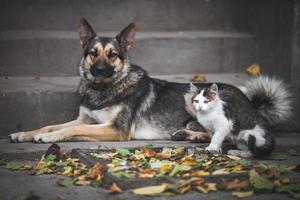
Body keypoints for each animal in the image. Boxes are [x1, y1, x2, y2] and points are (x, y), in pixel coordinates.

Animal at [9, 16, 211, 142]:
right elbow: (50, 125)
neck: (102, 89)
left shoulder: (116, 128)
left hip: (189, 100)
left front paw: (49, 137)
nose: (99, 70)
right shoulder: (87, 120)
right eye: (93, 53)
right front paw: (25, 134)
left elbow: (70, 129)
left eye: (113, 55)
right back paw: (188, 134)